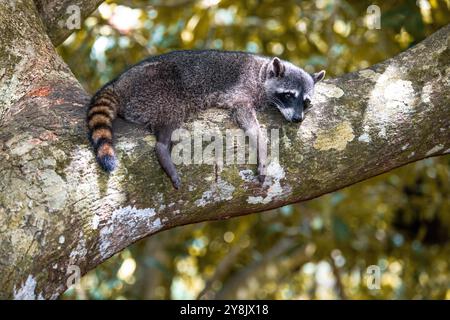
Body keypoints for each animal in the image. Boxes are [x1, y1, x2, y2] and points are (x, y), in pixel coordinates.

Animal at [86, 50, 324, 189]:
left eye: (306, 101)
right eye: (289, 95)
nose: (298, 119)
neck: (262, 72)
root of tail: (118, 83)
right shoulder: (242, 90)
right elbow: (245, 116)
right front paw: (262, 148)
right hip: (157, 87)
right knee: (171, 114)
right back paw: (162, 146)